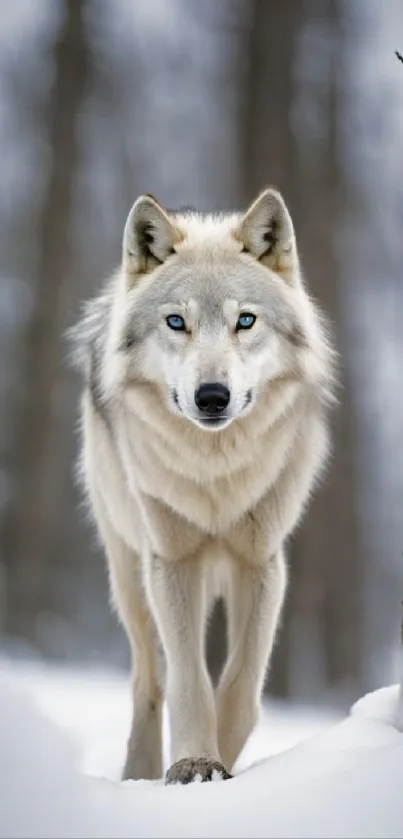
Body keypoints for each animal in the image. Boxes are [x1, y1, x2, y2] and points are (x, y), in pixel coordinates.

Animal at [71, 189, 336, 788]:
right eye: (176, 322)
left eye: (245, 320)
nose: (212, 396)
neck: (217, 477)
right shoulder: (171, 562)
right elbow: (188, 681)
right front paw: (192, 764)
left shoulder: (261, 563)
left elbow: (239, 687)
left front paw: (224, 765)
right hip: (129, 573)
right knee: (148, 681)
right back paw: (139, 773)